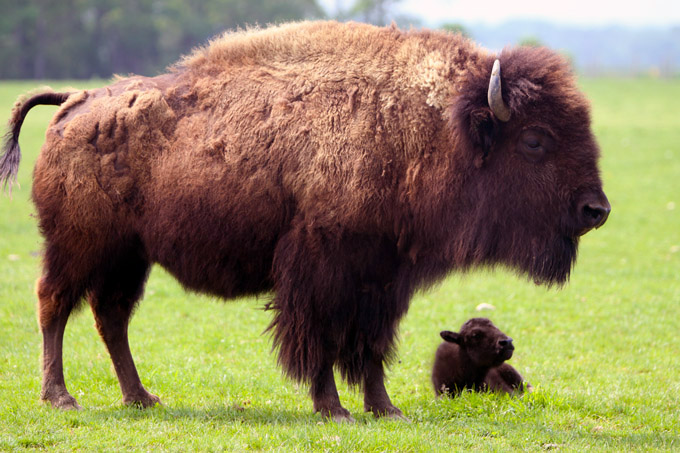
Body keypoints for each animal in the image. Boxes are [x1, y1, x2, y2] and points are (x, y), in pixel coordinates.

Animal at [1, 19, 612, 418]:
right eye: (535, 139)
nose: (597, 209)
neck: (434, 127)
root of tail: (77, 100)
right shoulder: (321, 270)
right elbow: (318, 340)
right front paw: (333, 408)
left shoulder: (383, 278)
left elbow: (370, 347)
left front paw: (385, 409)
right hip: (79, 246)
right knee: (54, 305)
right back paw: (61, 398)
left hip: (129, 256)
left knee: (111, 317)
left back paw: (141, 398)